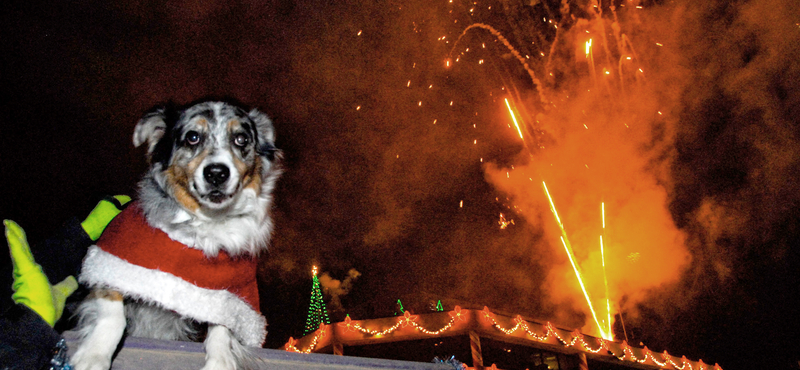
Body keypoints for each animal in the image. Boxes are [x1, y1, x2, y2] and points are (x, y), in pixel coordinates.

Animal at [72, 100, 282, 370]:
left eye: (241, 139)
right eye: (192, 137)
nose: (216, 173)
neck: (202, 225)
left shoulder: (234, 291)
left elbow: (223, 323)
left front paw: (221, 360)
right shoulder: (110, 260)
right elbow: (113, 312)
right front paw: (94, 355)